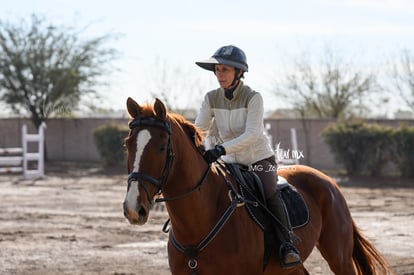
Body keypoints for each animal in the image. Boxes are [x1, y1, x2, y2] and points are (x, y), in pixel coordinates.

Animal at [122, 98, 392, 274]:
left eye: (161, 147)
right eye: (127, 144)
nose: (134, 208)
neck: (198, 222)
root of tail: (329, 182)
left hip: (339, 257)